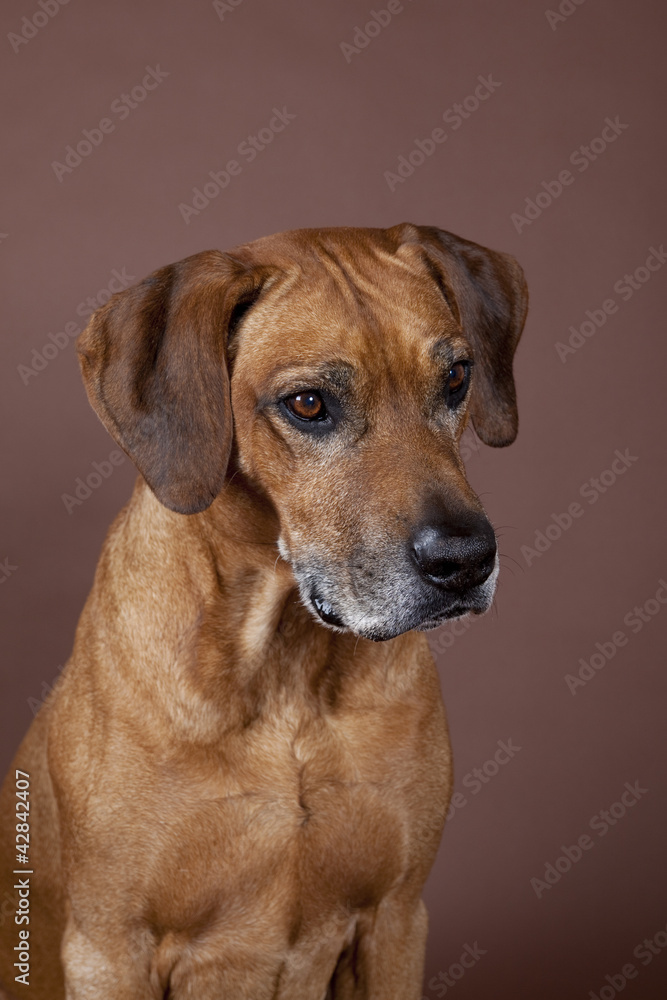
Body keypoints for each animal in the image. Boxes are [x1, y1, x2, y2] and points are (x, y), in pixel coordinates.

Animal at [0, 227, 528, 1000]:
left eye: (456, 378)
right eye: (307, 404)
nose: (464, 560)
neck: (285, 669)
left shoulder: (396, 920)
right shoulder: (109, 947)